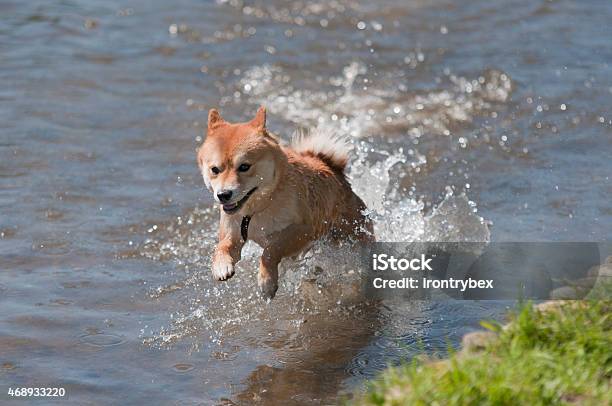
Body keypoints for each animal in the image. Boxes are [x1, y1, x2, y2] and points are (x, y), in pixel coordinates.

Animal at [196, 106, 372, 300]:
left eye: (244, 167)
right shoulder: (233, 233)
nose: (223, 195)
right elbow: (222, 247)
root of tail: (334, 169)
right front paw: (221, 266)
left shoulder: (303, 230)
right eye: (215, 170)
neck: (258, 208)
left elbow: (271, 250)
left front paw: (266, 282)